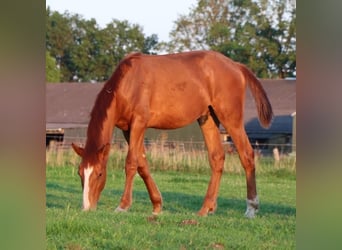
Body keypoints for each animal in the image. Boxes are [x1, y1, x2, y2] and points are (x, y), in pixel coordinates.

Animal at [72, 49, 272, 218]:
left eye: (99, 174)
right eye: (80, 173)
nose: (86, 207)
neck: (128, 84)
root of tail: (237, 66)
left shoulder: (139, 124)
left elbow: (131, 163)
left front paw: (123, 206)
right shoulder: (127, 130)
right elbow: (142, 164)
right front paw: (157, 205)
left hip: (231, 118)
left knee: (246, 155)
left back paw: (251, 208)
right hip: (207, 117)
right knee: (217, 158)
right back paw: (206, 208)